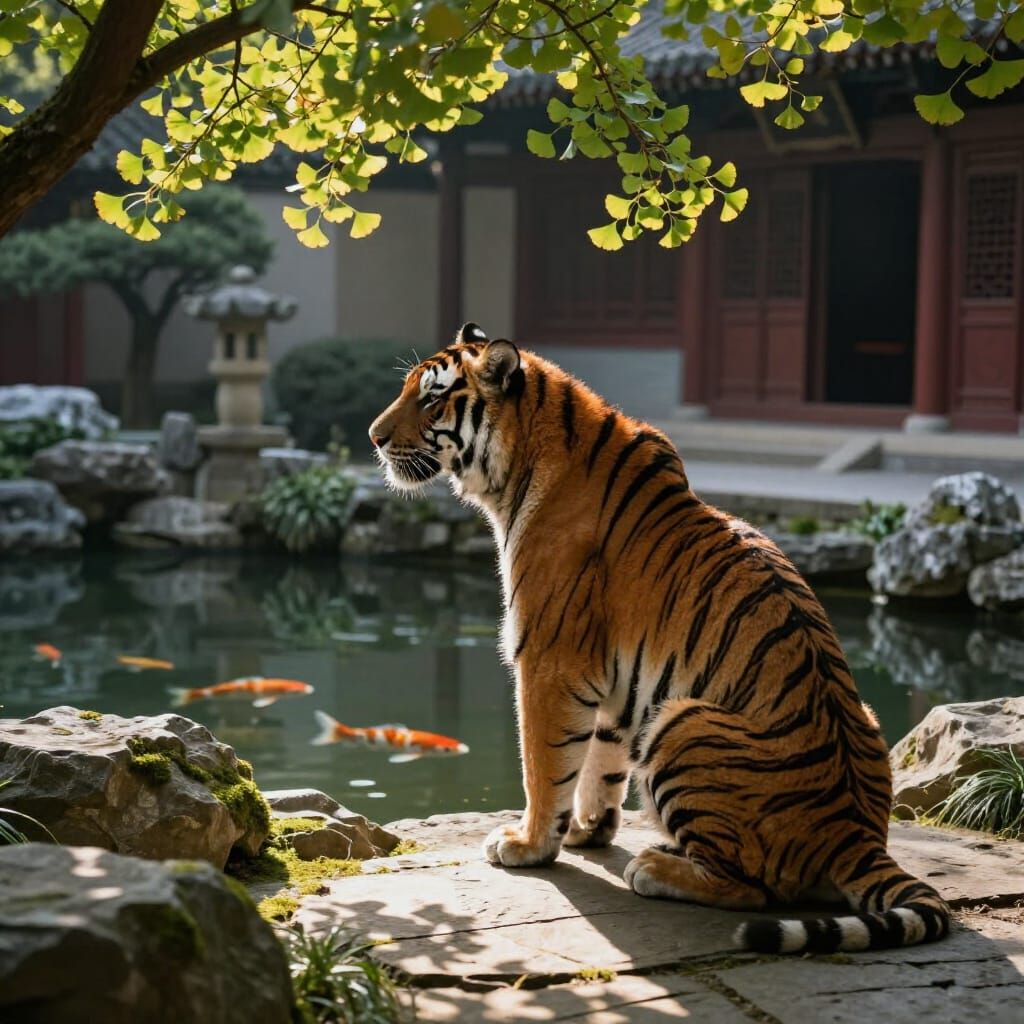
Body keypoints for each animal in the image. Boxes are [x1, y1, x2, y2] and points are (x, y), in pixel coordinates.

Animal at [368, 323, 950, 955]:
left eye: (431, 398)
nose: (373, 437)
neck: (517, 469)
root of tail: (857, 833)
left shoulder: (546, 662)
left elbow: (543, 766)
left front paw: (528, 845)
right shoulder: (613, 678)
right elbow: (600, 761)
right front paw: (586, 830)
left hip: (682, 721)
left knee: (758, 889)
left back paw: (654, 866)